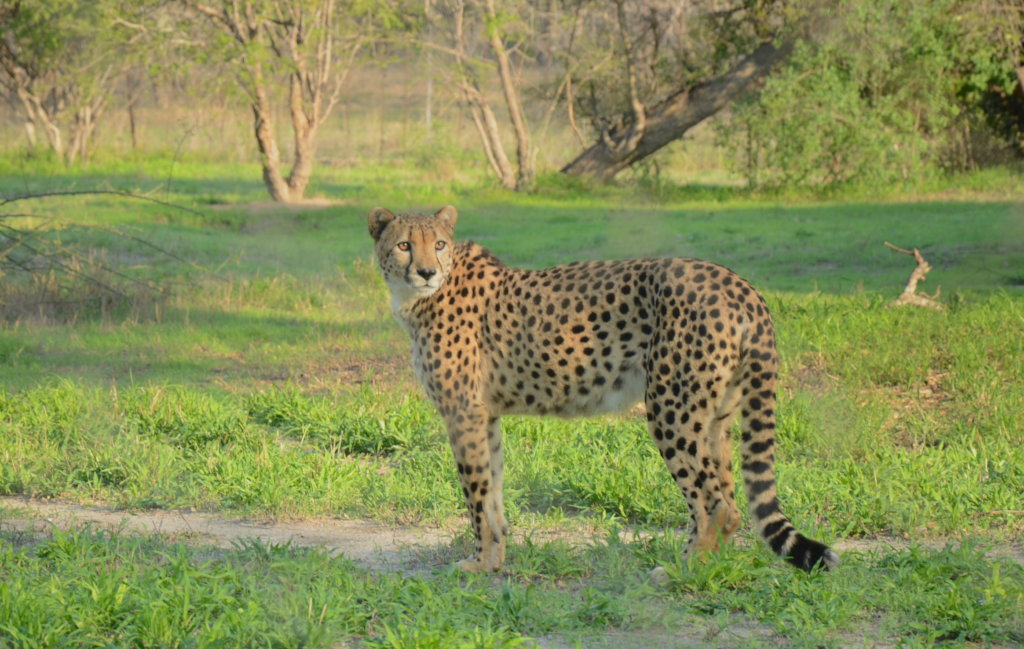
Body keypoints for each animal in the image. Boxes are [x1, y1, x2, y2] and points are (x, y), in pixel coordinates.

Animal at [370, 205, 839, 569]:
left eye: (439, 244)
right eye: (404, 245)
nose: (427, 271)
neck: (417, 297)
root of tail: (739, 284)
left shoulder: (463, 413)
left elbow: (476, 494)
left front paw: (480, 565)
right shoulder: (484, 415)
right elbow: (494, 492)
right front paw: (496, 561)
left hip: (671, 409)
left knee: (715, 504)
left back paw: (683, 573)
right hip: (714, 417)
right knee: (729, 500)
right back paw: (710, 569)